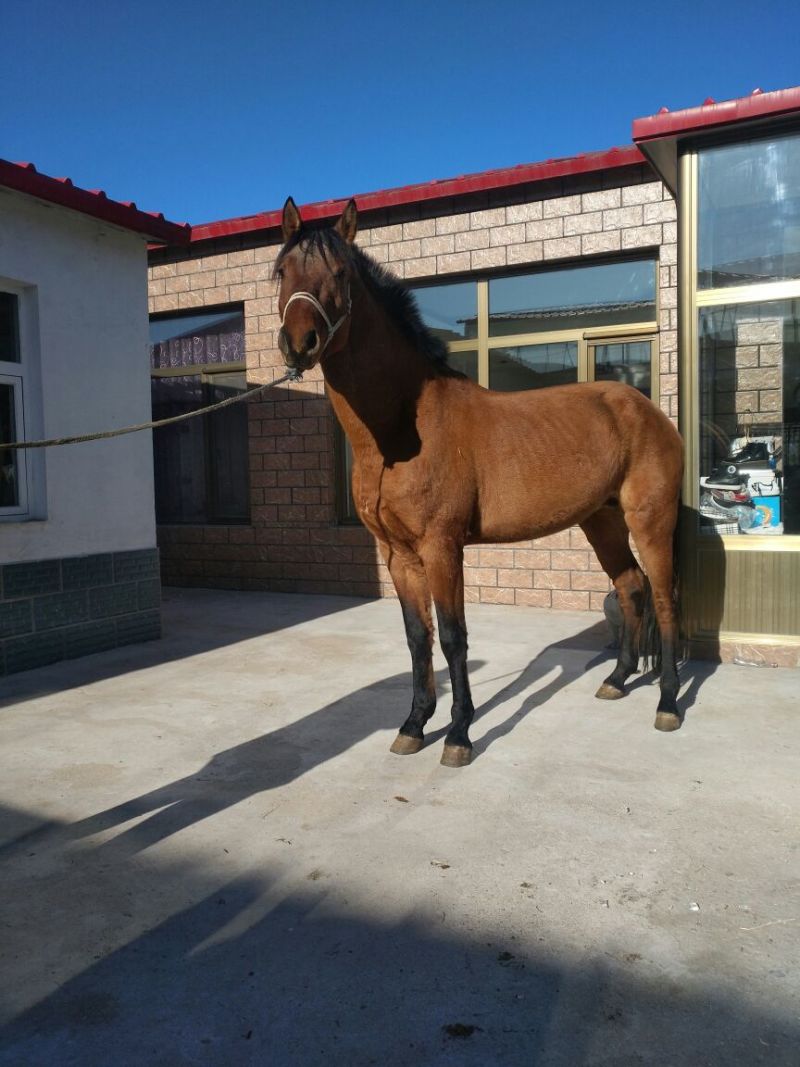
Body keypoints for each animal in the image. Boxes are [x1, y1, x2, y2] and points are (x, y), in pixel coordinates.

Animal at [275, 197, 684, 767]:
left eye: (340, 273)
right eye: (281, 271)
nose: (299, 344)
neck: (402, 430)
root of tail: (644, 407)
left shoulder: (442, 547)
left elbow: (453, 637)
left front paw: (458, 735)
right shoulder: (397, 555)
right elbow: (417, 638)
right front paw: (413, 725)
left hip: (650, 520)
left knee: (664, 599)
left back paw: (667, 703)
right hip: (600, 522)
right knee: (630, 587)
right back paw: (617, 681)